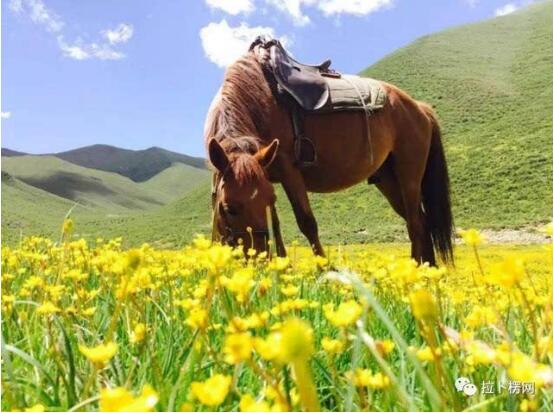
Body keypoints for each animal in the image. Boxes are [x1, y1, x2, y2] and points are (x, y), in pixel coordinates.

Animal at [203, 49, 452, 268]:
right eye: (229, 208)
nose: (261, 260)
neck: (258, 100)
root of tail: (420, 108)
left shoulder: (289, 171)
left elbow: (307, 223)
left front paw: (323, 270)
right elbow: (276, 225)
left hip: (409, 177)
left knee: (415, 223)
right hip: (389, 181)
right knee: (421, 221)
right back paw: (428, 272)